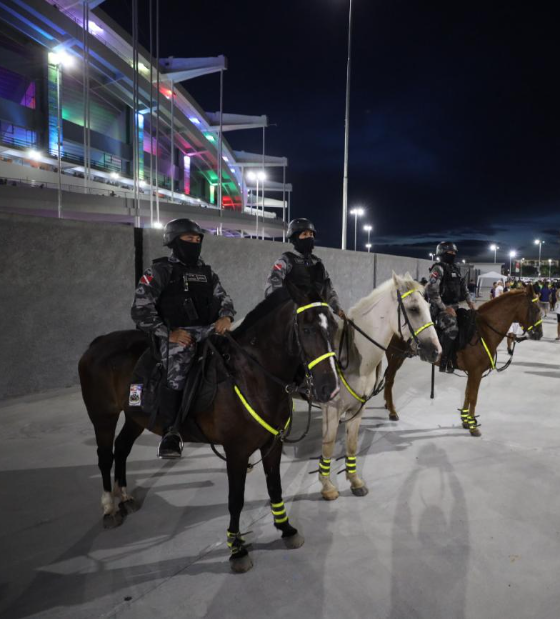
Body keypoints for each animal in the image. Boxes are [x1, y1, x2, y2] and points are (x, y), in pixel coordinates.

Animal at [79, 284, 340, 572]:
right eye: (307, 329)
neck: (251, 376)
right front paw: (237, 549)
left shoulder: (272, 444)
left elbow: (275, 487)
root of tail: (98, 342)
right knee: (106, 456)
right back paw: (109, 508)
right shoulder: (236, 452)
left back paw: (124, 497)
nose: (330, 388)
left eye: (334, 327)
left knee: (122, 448)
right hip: (103, 416)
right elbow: (235, 500)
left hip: (135, 417)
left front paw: (286, 530)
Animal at [318, 274, 440, 502]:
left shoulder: (357, 408)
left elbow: (352, 444)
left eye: (429, 306)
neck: (352, 355)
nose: (436, 351)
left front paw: (355, 482)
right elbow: (328, 446)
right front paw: (327, 487)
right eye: (413, 309)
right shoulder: (331, 409)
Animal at [382, 286, 540, 436]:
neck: (482, 332)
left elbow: (467, 394)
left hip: (400, 356)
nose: (539, 334)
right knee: (389, 380)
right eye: (537, 309)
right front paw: (473, 427)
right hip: (395, 355)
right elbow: (473, 397)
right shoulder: (476, 372)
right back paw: (392, 411)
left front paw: (465, 421)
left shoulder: (472, 373)